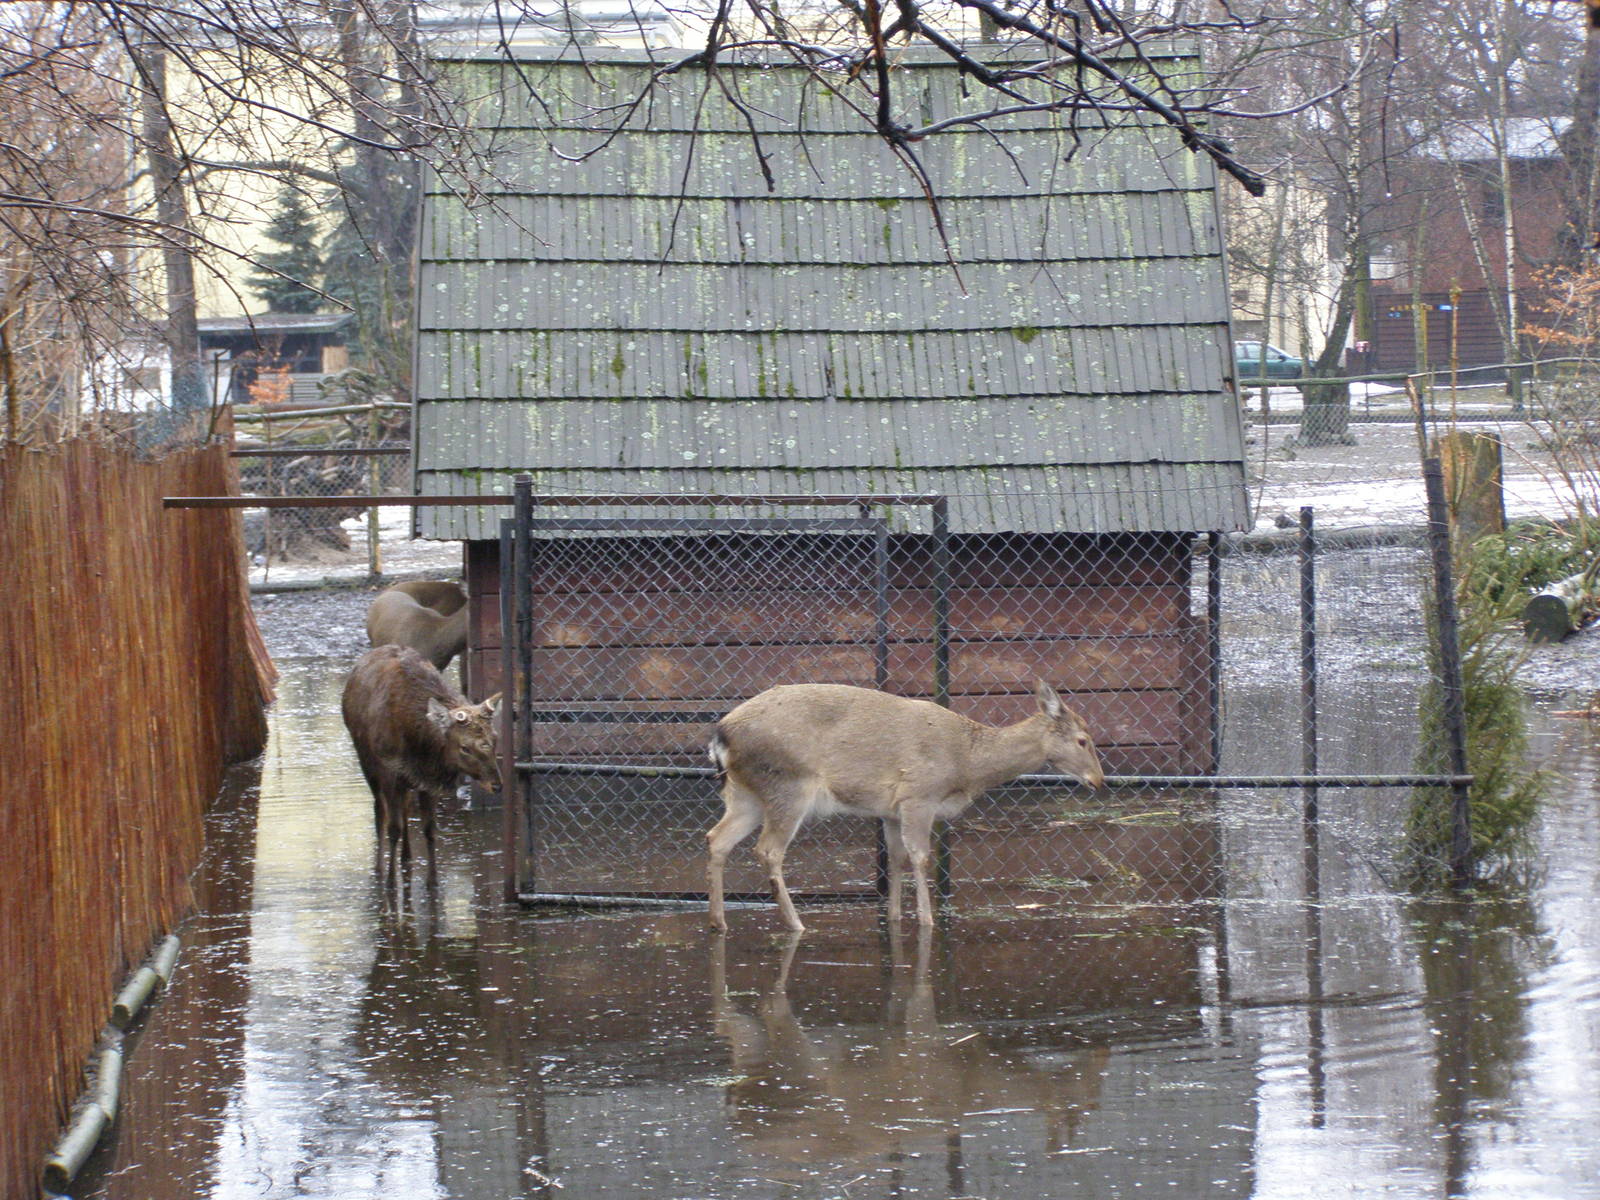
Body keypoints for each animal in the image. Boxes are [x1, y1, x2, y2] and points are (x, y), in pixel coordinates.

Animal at [341, 644, 501, 886]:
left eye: (495, 738)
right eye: (464, 747)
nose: (497, 784)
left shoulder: (426, 780)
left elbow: (429, 829)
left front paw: (432, 879)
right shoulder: (389, 771)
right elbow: (393, 828)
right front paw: (390, 881)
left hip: (407, 780)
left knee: (406, 807)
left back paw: (407, 857)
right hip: (367, 762)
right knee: (379, 810)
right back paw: (379, 867)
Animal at [706, 680, 1105, 933]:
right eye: (1082, 740)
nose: (1098, 780)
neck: (966, 763)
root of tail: (721, 735)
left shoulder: (890, 810)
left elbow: (895, 860)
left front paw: (896, 917)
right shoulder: (919, 795)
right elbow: (920, 857)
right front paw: (928, 921)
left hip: (745, 794)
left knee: (717, 838)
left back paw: (718, 920)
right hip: (788, 784)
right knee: (768, 850)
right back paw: (795, 923)